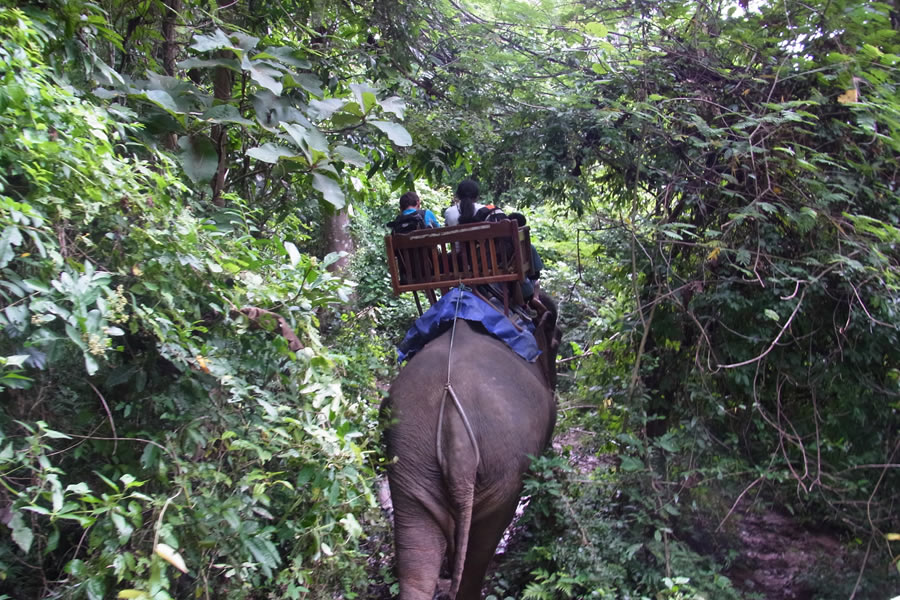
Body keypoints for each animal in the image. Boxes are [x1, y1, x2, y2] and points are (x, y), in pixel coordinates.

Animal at [384, 292, 560, 596]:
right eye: (558, 340)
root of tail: (453, 424)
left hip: (410, 464)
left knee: (417, 562)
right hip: (503, 473)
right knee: (480, 551)